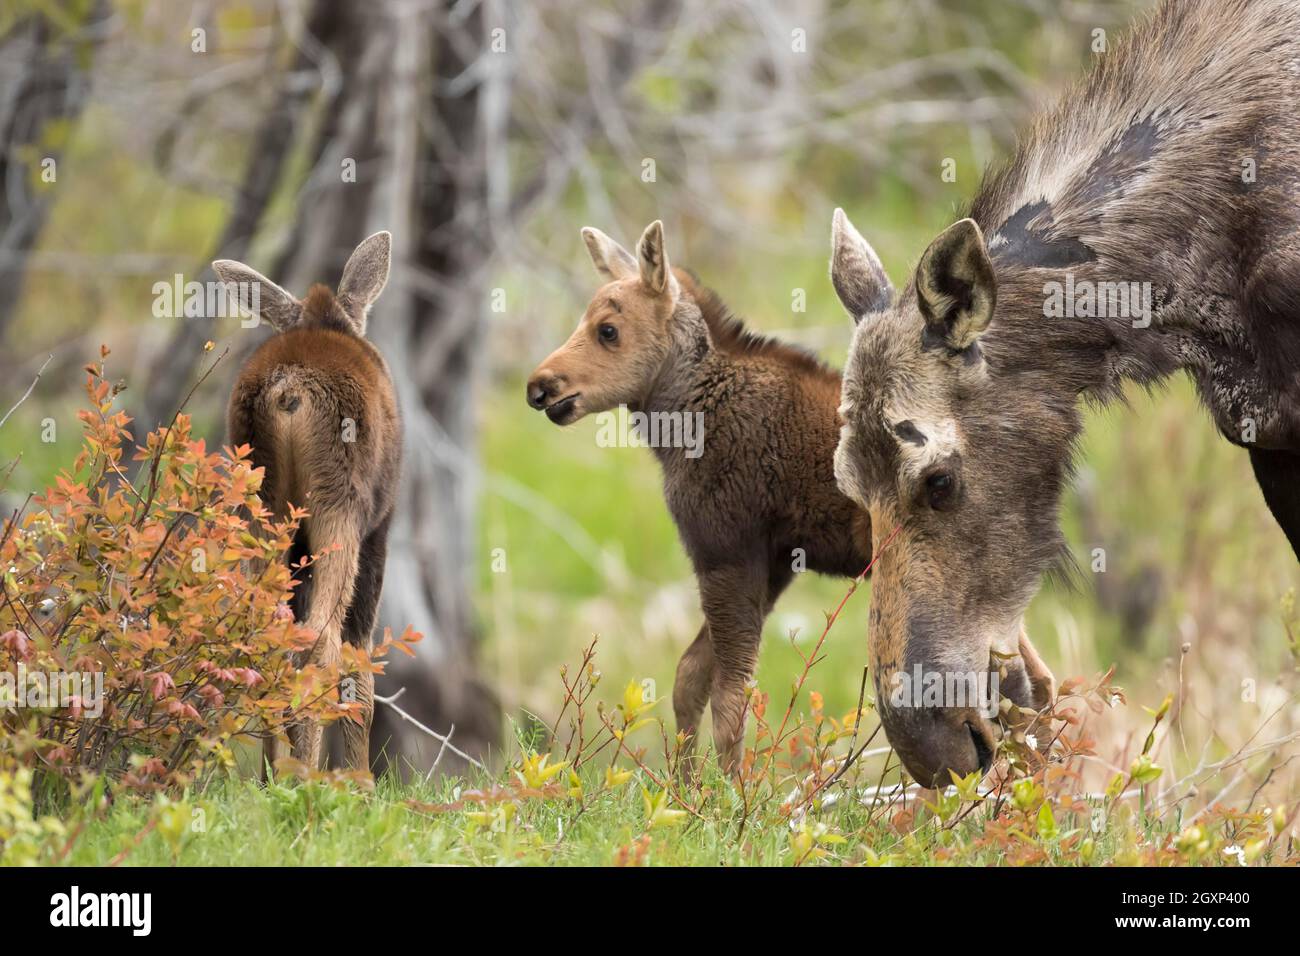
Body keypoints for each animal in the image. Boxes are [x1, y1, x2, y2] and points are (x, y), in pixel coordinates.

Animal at [527, 223, 873, 780]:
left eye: (608, 329)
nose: (539, 387)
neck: (682, 426)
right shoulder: (771, 560)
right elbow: (690, 676)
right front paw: (685, 786)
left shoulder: (726, 548)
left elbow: (731, 699)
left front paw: (730, 796)